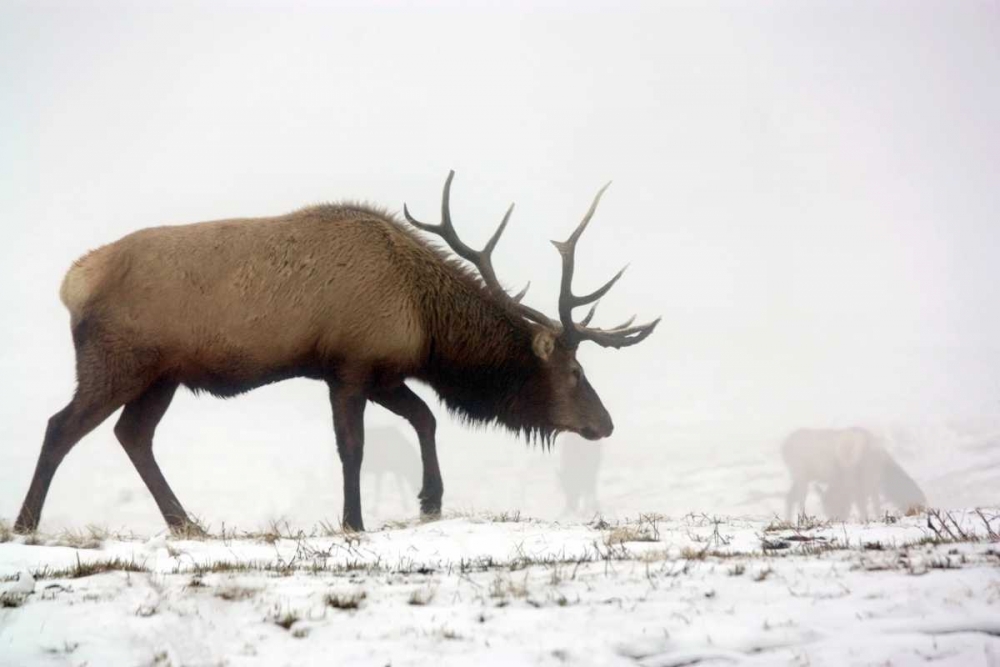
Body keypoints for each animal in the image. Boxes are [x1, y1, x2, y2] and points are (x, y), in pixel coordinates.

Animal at [14, 171, 659, 534]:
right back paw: (26, 523)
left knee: (133, 435)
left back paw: (185, 522)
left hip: (162, 376)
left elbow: (425, 418)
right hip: (117, 361)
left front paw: (430, 501)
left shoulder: (384, 371)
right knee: (60, 427)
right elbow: (354, 448)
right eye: (574, 370)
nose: (604, 424)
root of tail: (72, 283)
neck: (425, 322)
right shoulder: (348, 366)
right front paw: (354, 521)